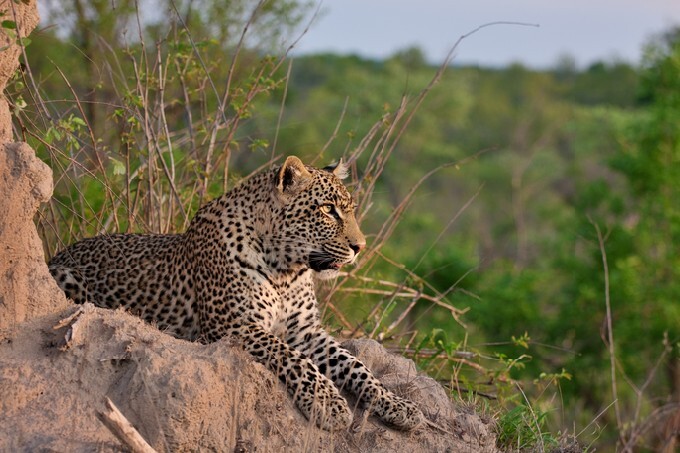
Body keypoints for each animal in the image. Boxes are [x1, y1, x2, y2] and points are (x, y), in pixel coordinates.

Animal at [48, 156, 425, 431]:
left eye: (350, 210)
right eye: (327, 210)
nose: (360, 247)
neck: (286, 271)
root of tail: (59, 252)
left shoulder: (307, 332)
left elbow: (357, 365)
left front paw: (398, 405)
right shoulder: (234, 326)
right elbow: (293, 358)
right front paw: (328, 402)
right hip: (66, 279)